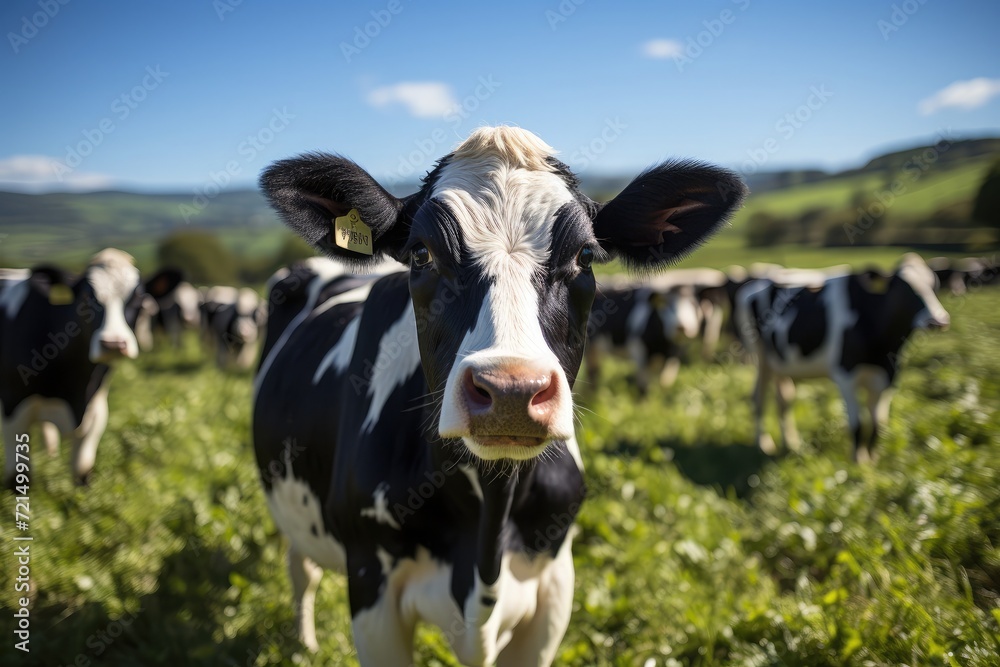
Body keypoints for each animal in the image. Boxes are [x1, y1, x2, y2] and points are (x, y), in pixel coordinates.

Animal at [0, 250, 145, 486]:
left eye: (140, 299)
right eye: (85, 298)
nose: (113, 344)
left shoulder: (96, 408)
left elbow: (83, 473)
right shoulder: (12, 408)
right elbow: (17, 477)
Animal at [254, 124, 748, 664]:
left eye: (586, 256)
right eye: (422, 253)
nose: (512, 389)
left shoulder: (554, 588)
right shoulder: (371, 588)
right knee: (300, 570)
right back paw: (305, 644)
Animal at [740, 253, 948, 462]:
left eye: (933, 285)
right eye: (905, 288)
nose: (938, 320)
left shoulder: (888, 377)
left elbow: (878, 425)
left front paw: (872, 461)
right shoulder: (846, 376)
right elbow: (857, 424)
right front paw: (858, 462)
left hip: (782, 364)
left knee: (784, 400)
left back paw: (792, 445)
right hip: (761, 358)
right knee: (758, 398)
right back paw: (764, 445)